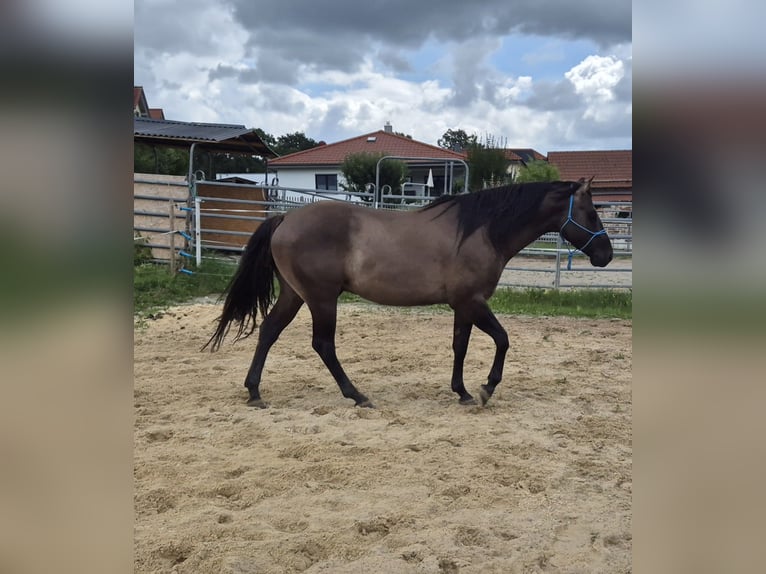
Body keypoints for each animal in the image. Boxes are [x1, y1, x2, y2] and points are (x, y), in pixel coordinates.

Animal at [204, 178, 613, 408]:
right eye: (592, 214)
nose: (606, 255)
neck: (481, 232)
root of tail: (285, 218)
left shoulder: (462, 306)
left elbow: (460, 346)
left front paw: (462, 391)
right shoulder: (473, 302)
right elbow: (503, 339)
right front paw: (486, 388)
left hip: (295, 294)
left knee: (269, 332)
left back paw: (255, 392)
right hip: (321, 298)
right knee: (323, 345)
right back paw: (357, 395)